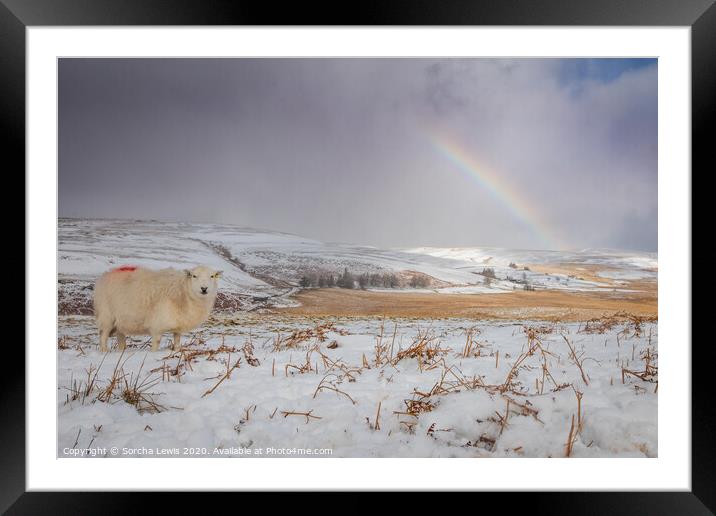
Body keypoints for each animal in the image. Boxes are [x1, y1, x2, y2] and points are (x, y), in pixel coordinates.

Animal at [93, 266, 221, 350]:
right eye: (194, 276)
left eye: (212, 276)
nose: (204, 288)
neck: (183, 291)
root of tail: (105, 275)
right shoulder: (157, 326)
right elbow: (157, 342)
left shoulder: (178, 325)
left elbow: (177, 341)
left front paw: (176, 351)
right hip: (106, 316)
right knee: (103, 337)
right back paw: (104, 351)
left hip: (120, 321)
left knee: (120, 337)